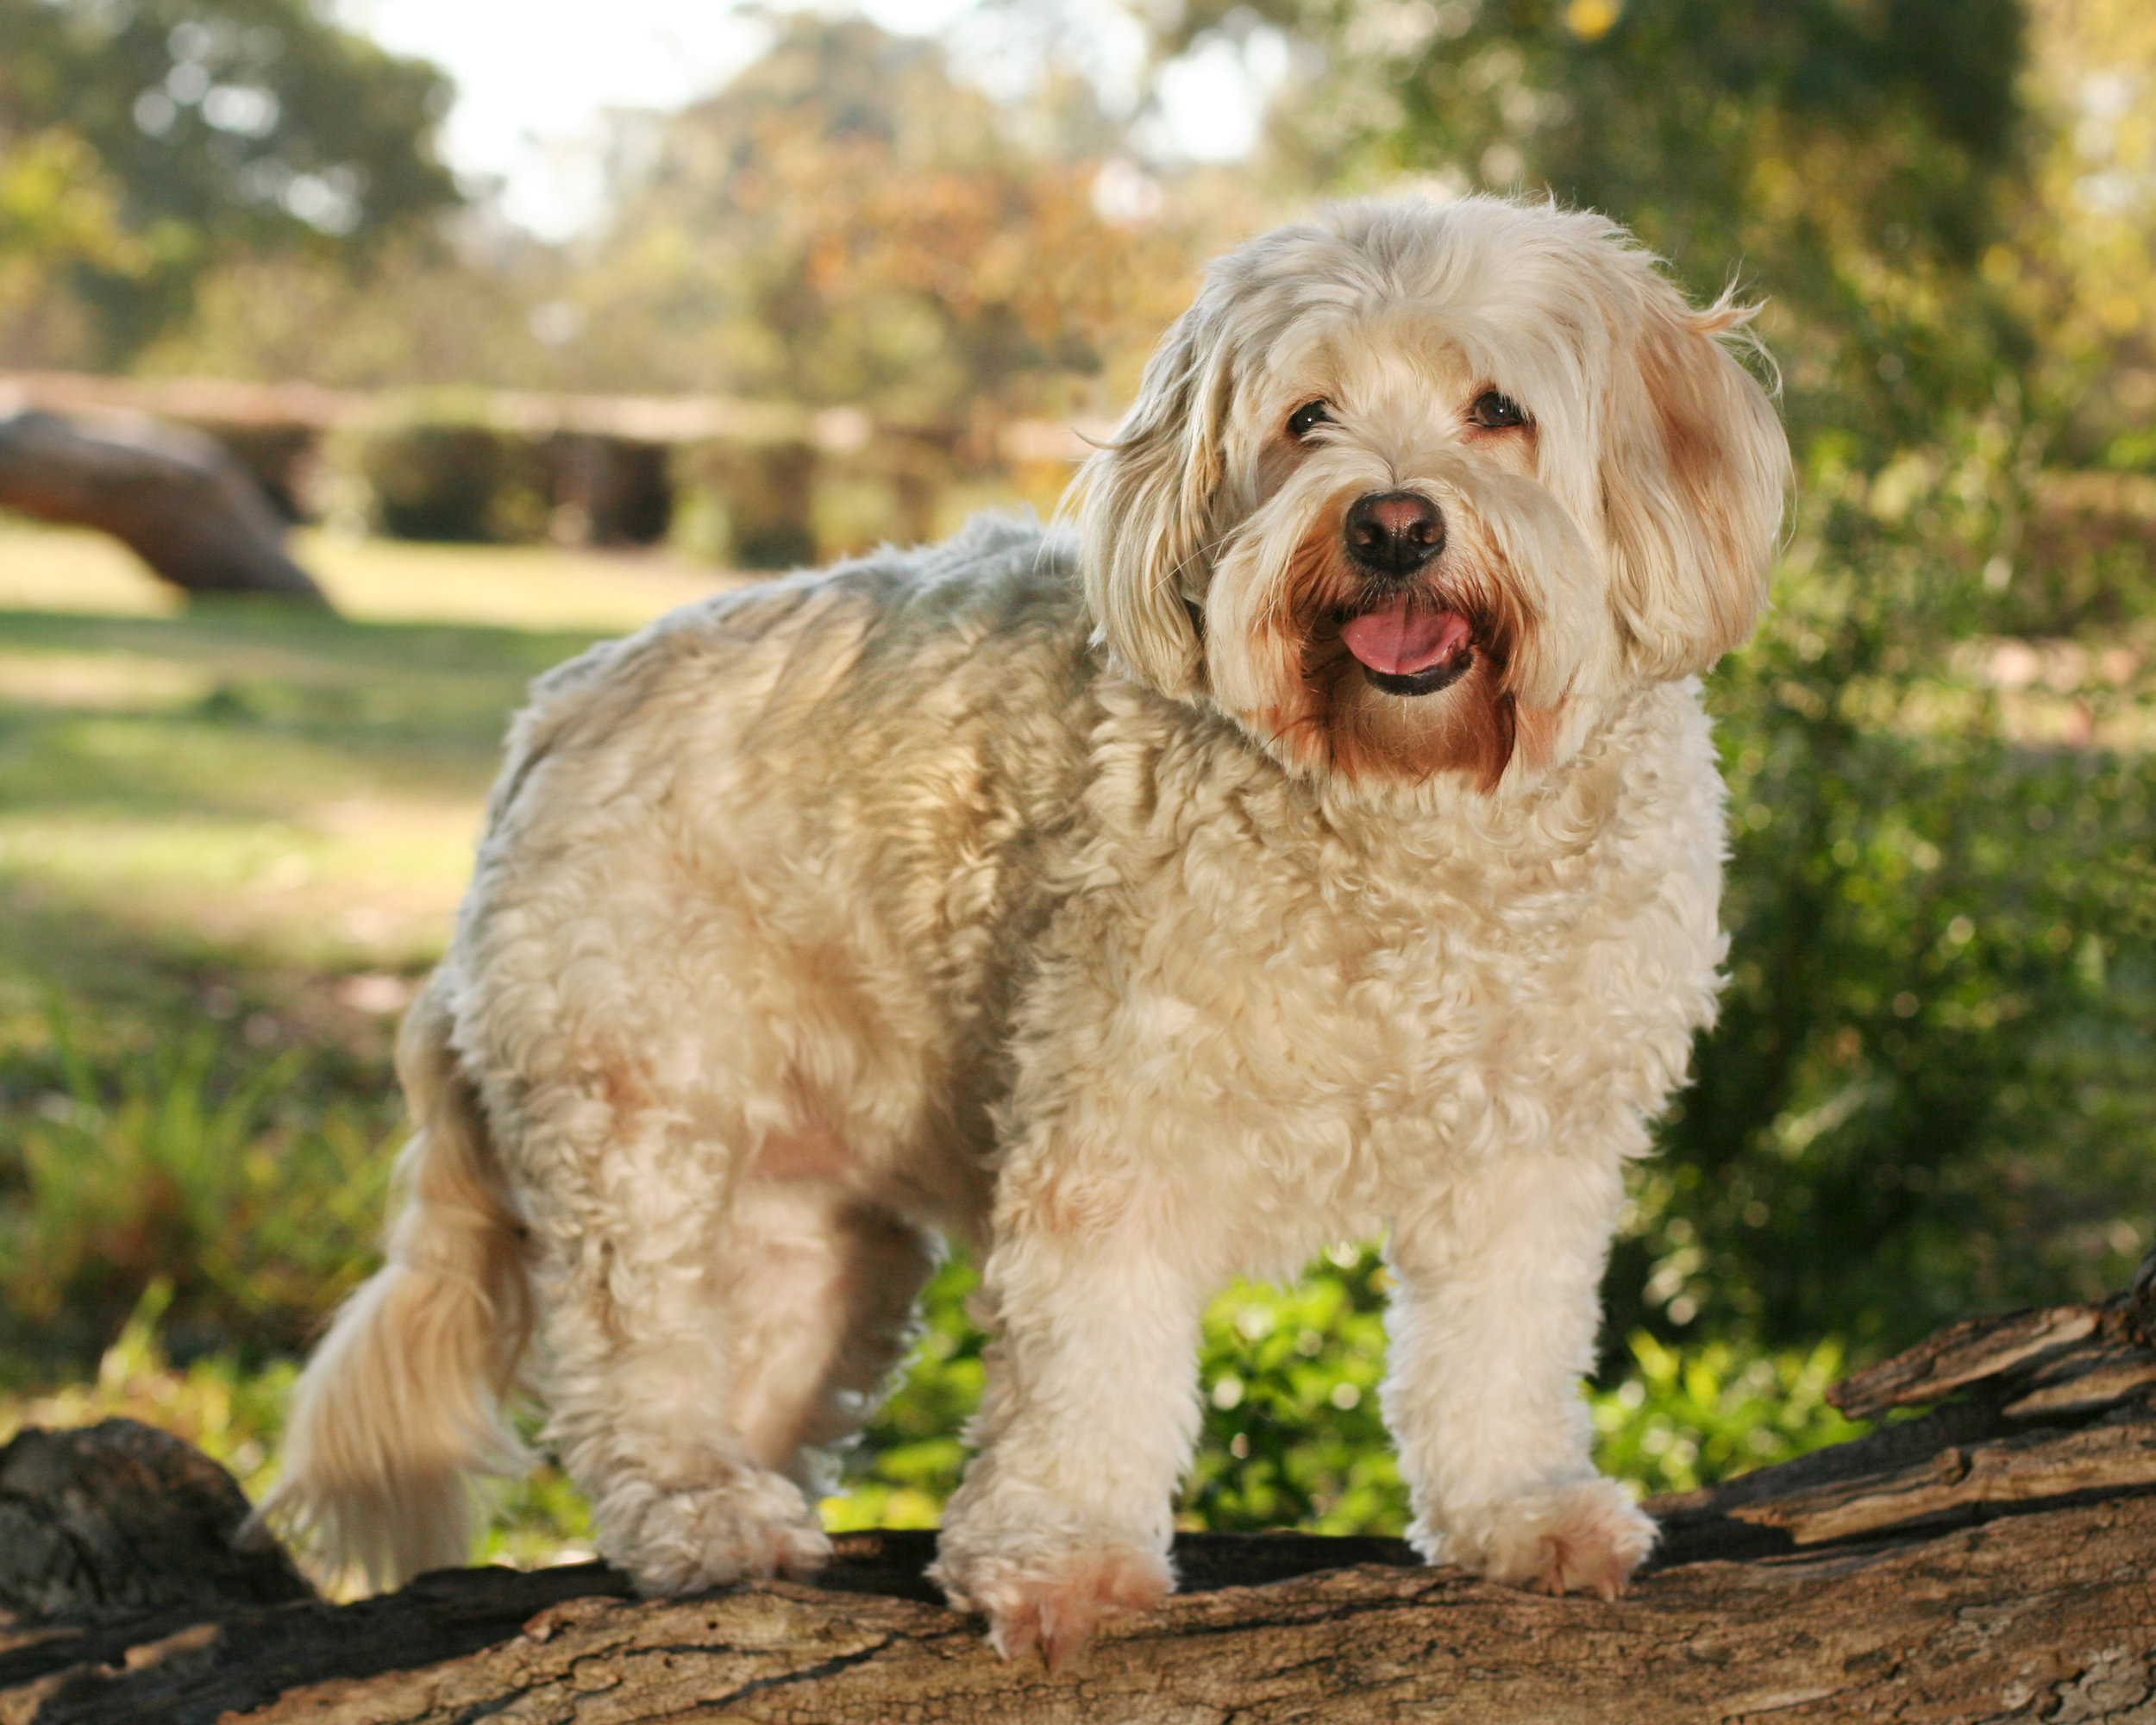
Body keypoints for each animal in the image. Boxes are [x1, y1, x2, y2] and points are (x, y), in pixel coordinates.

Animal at [260, 195, 1785, 1665]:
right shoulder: (1113, 1128)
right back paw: (699, 1515)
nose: (1393, 526)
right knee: (627, 1358)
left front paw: (1523, 1513)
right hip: (631, 1126)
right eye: (1307, 419)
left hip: (813, 1247)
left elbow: (1505, 1352)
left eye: (1497, 409)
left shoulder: (1531, 1156)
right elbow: (1087, 1365)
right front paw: (1061, 1559)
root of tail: (554, 715)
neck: (1407, 812)